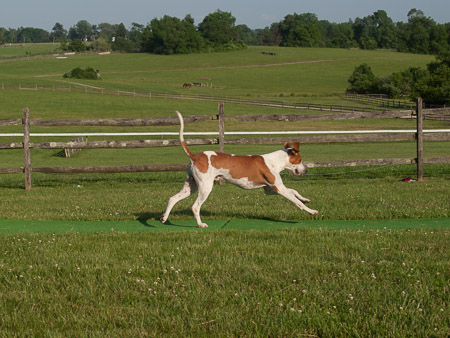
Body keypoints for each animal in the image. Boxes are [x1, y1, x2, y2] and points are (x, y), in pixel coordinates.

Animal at [160, 111, 318, 227]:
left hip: (190, 185)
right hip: (205, 187)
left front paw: (306, 199)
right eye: (300, 160)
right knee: (195, 206)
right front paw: (311, 211)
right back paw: (200, 224)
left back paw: (164, 218)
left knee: (172, 198)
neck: (274, 161)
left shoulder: (270, 189)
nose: (306, 171)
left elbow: (294, 191)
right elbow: (296, 202)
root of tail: (195, 156)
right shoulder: (279, 189)